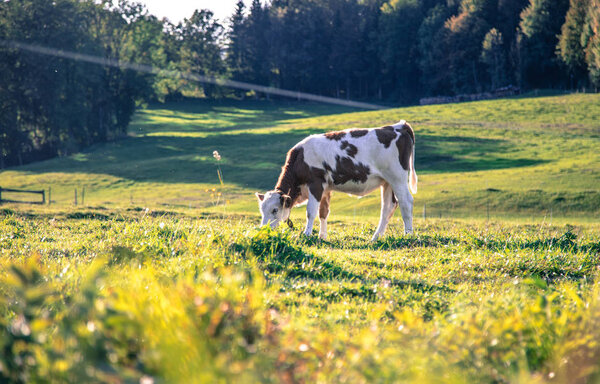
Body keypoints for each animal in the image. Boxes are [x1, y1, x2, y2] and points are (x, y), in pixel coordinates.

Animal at [256, 121, 418, 240]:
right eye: (262, 210)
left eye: (275, 209)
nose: (263, 229)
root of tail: (398, 126)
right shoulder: (326, 188)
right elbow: (323, 212)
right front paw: (322, 236)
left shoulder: (316, 183)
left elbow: (311, 212)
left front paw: (307, 234)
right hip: (387, 181)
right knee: (388, 207)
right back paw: (376, 237)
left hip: (397, 177)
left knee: (406, 202)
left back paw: (408, 235)